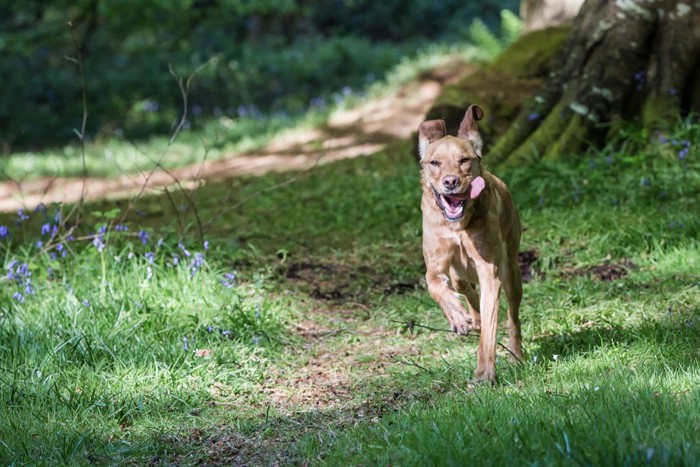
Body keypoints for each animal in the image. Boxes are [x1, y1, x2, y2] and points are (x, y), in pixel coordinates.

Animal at [418, 106, 524, 384]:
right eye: (434, 162)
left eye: (464, 160)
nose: (450, 181)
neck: (458, 226)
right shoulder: (436, 263)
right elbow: (434, 284)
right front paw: (457, 316)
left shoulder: (489, 271)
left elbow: (490, 327)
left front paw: (484, 373)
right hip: (458, 272)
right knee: (462, 286)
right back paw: (470, 317)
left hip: (511, 270)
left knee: (513, 316)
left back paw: (517, 355)